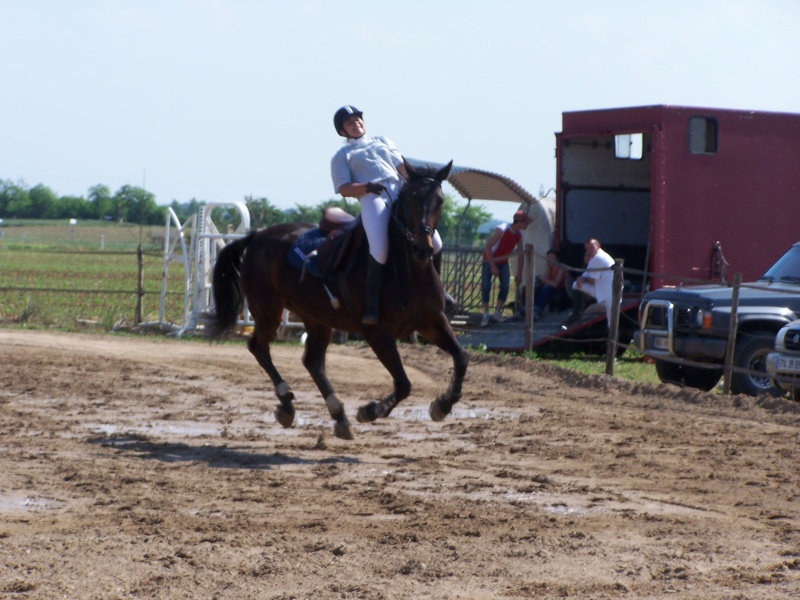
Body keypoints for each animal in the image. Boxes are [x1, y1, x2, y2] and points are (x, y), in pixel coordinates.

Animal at [206, 159, 468, 440]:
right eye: (411, 197)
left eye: (440, 200)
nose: (423, 248)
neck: (407, 271)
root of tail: (257, 236)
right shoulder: (375, 332)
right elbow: (403, 384)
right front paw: (370, 411)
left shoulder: (432, 321)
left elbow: (461, 357)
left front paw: (443, 405)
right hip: (268, 311)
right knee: (258, 347)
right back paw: (286, 403)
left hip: (316, 318)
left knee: (312, 361)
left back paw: (339, 415)